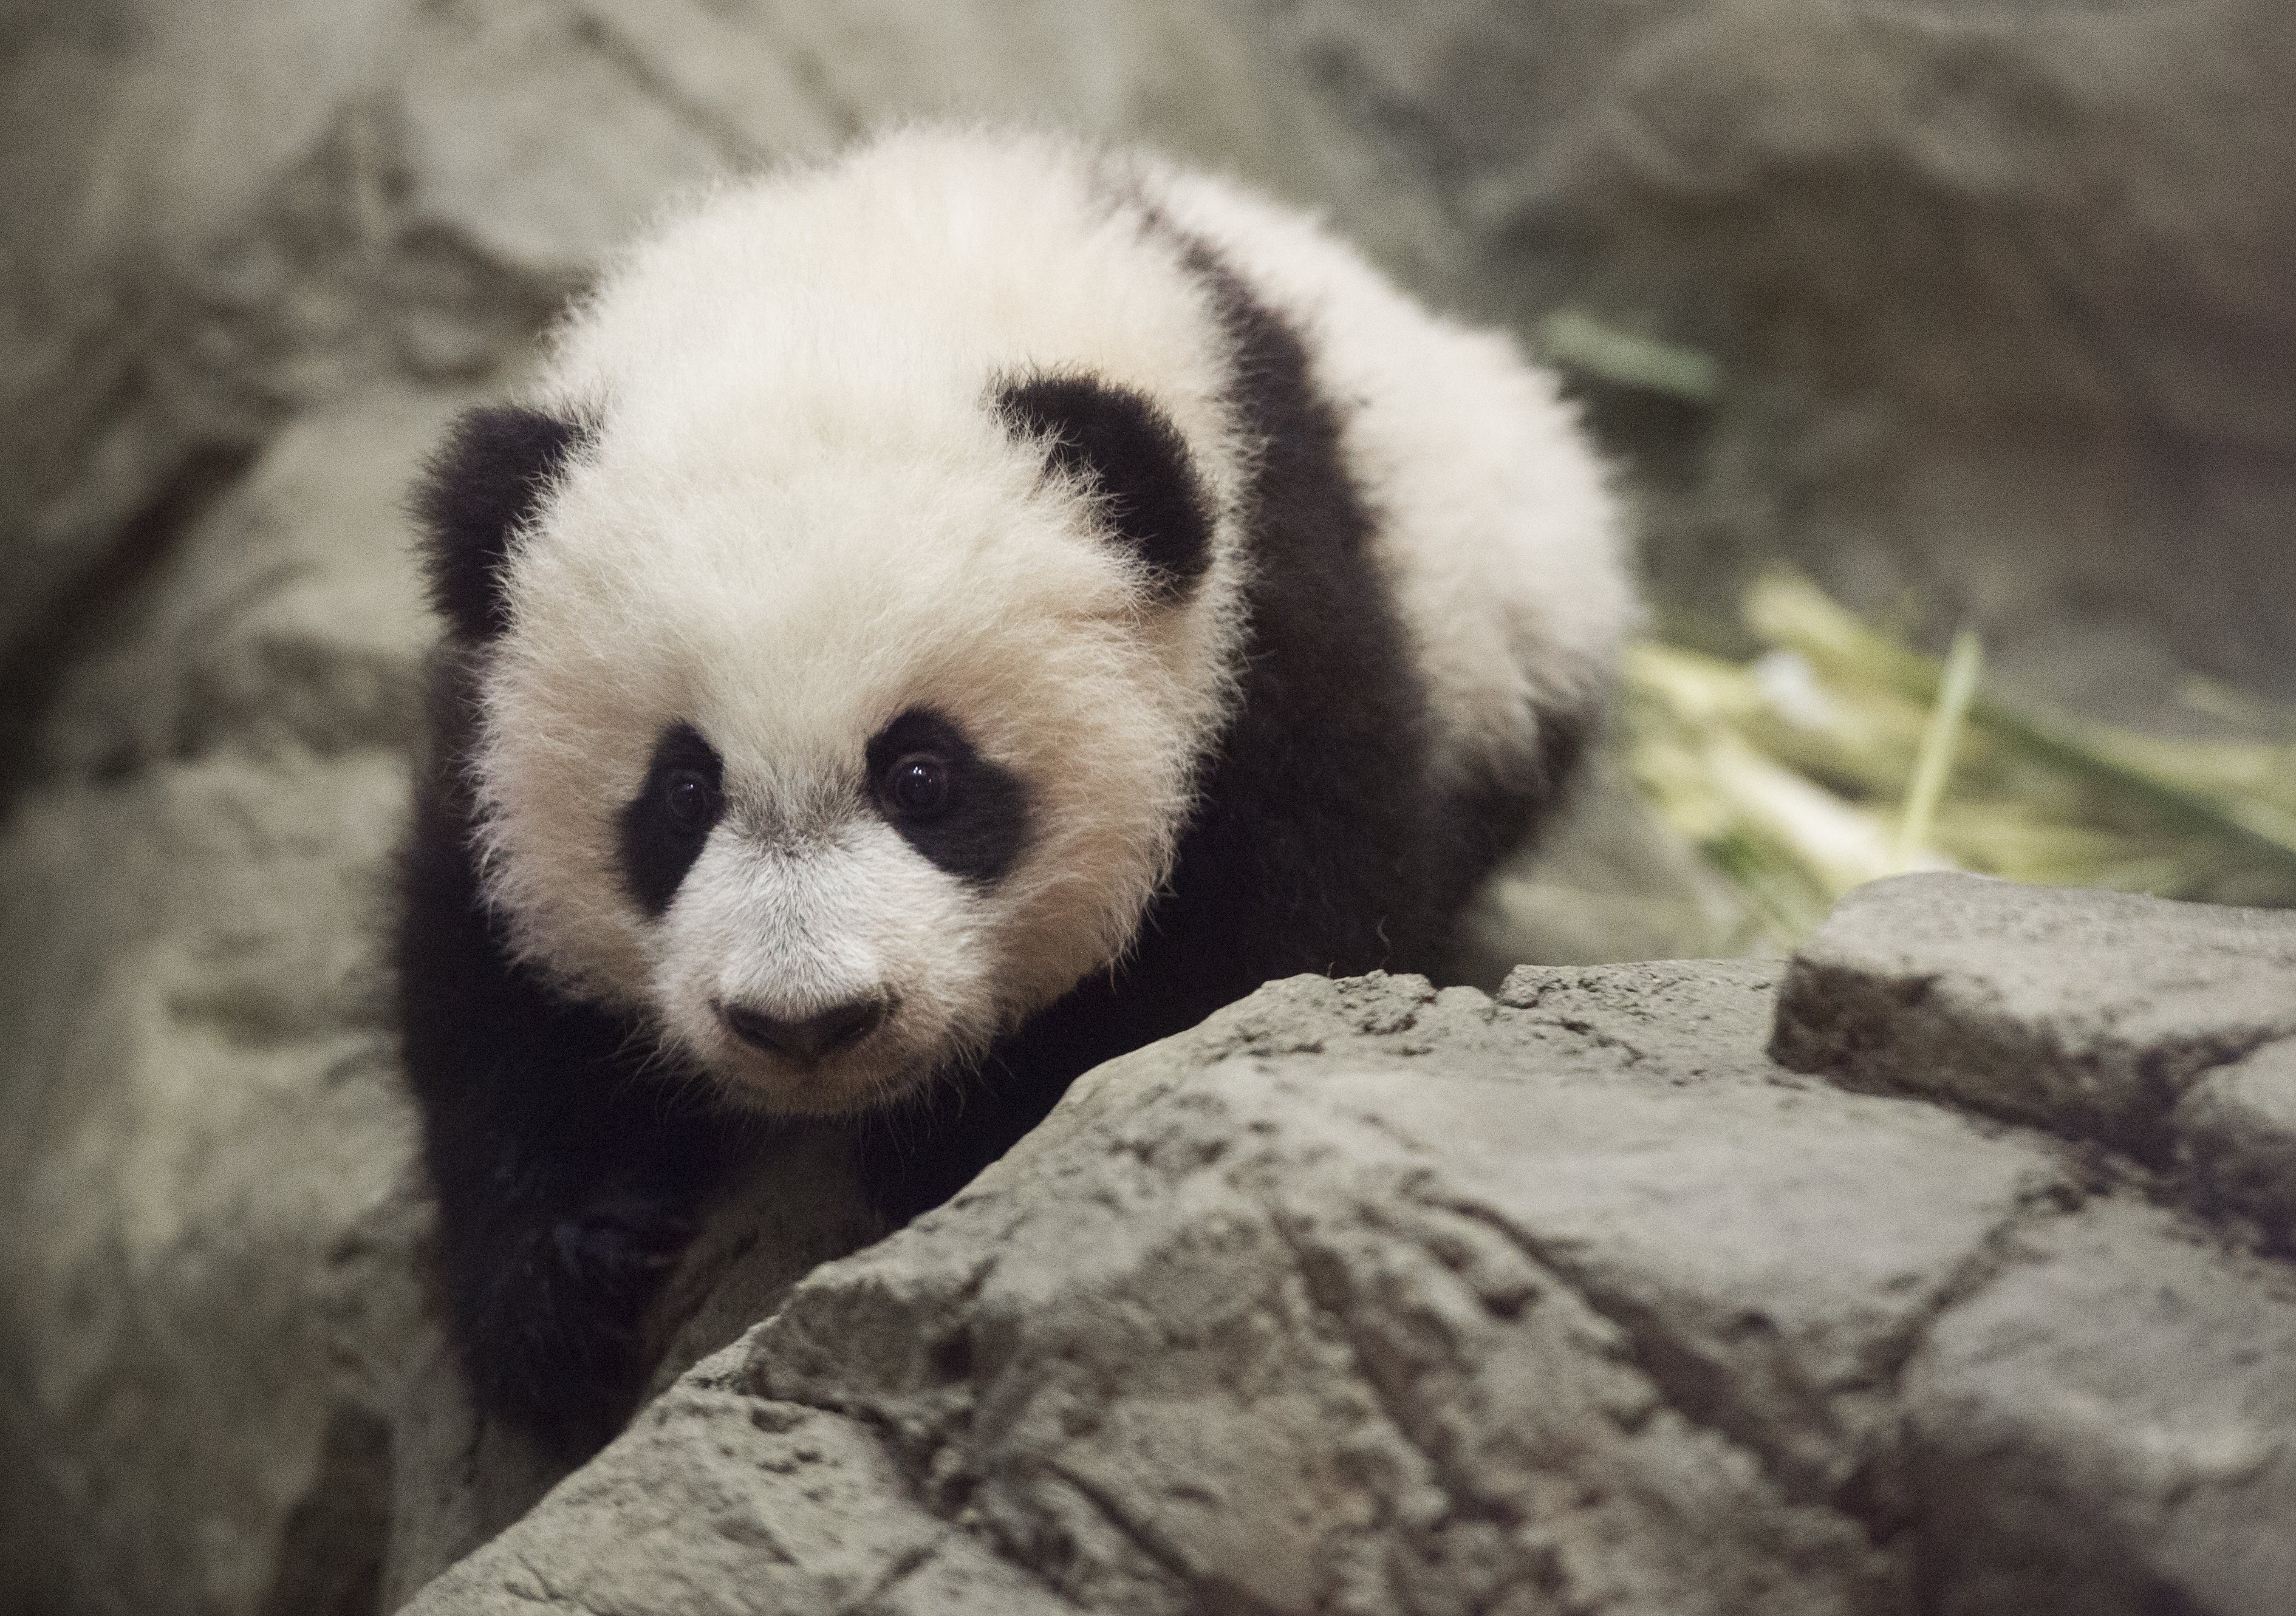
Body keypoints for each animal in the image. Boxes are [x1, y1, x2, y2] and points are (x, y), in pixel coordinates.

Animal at [397, 125, 1632, 1457]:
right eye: (681, 792)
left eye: (923, 777)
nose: (807, 1022)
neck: (856, 298)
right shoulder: (487, 702)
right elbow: (485, 967)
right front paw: (571, 1278)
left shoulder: (1270, 615)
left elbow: (1277, 936)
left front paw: (955, 1151)